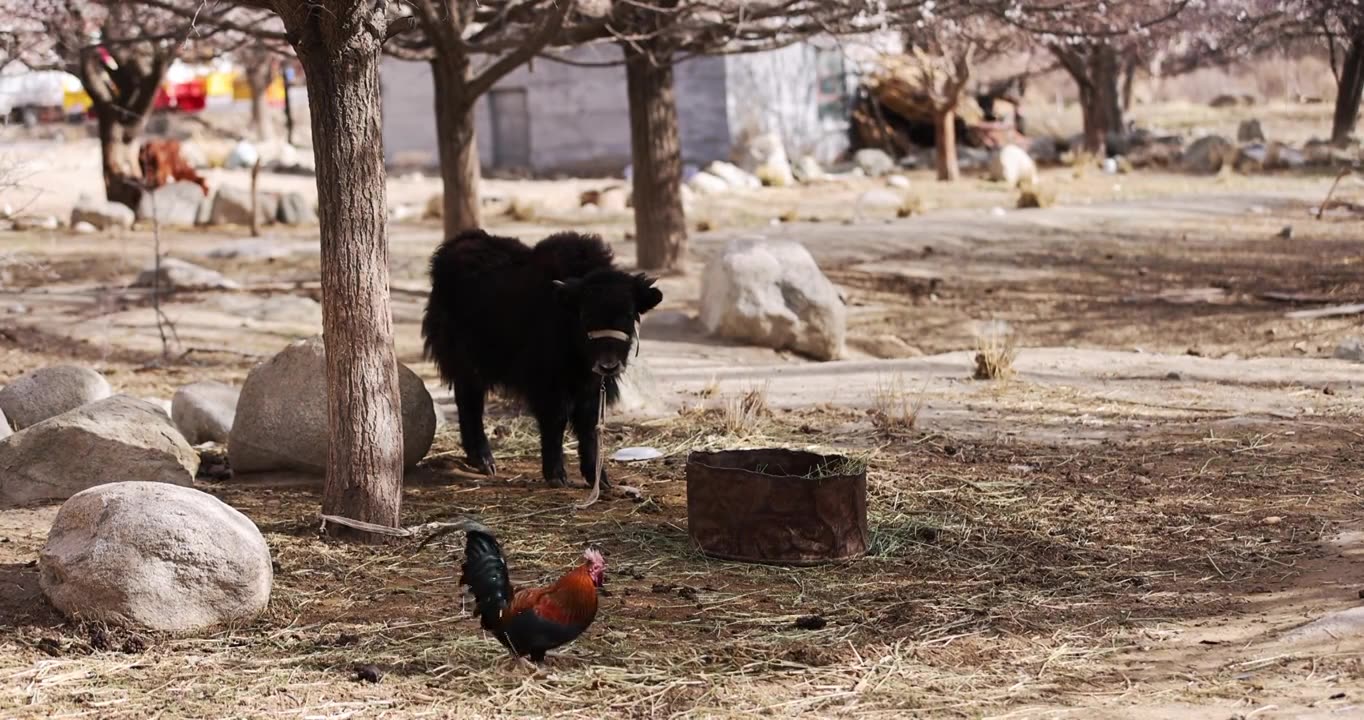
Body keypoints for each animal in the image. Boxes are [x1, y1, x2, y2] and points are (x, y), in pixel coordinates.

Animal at [422, 230, 662, 488]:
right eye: (586, 314)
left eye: (628, 314)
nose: (608, 365)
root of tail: (457, 245)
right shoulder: (548, 383)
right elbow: (556, 421)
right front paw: (556, 475)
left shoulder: (591, 387)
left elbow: (589, 426)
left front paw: (599, 478)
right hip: (465, 360)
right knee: (470, 401)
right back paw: (485, 460)